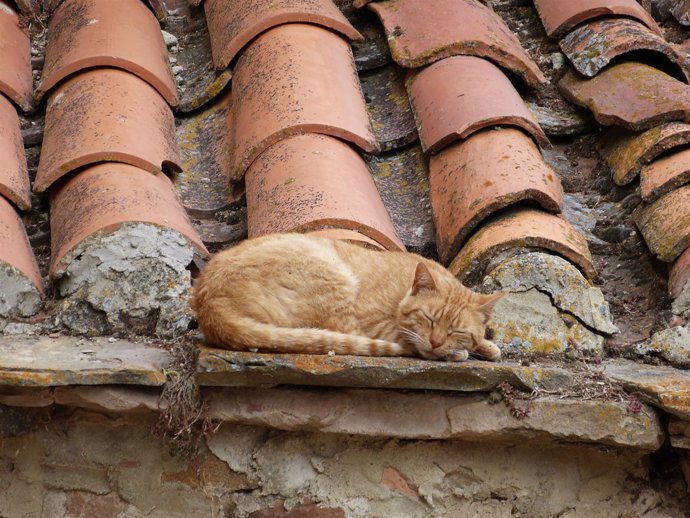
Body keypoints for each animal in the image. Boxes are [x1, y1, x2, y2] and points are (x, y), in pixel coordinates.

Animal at [191, 234, 502, 364]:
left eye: (457, 331)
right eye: (427, 318)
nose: (437, 342)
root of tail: (208, 304)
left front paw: (485, 346)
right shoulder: (376, 322)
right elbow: (409, 340)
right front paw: (457, 352)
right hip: (331, 274)